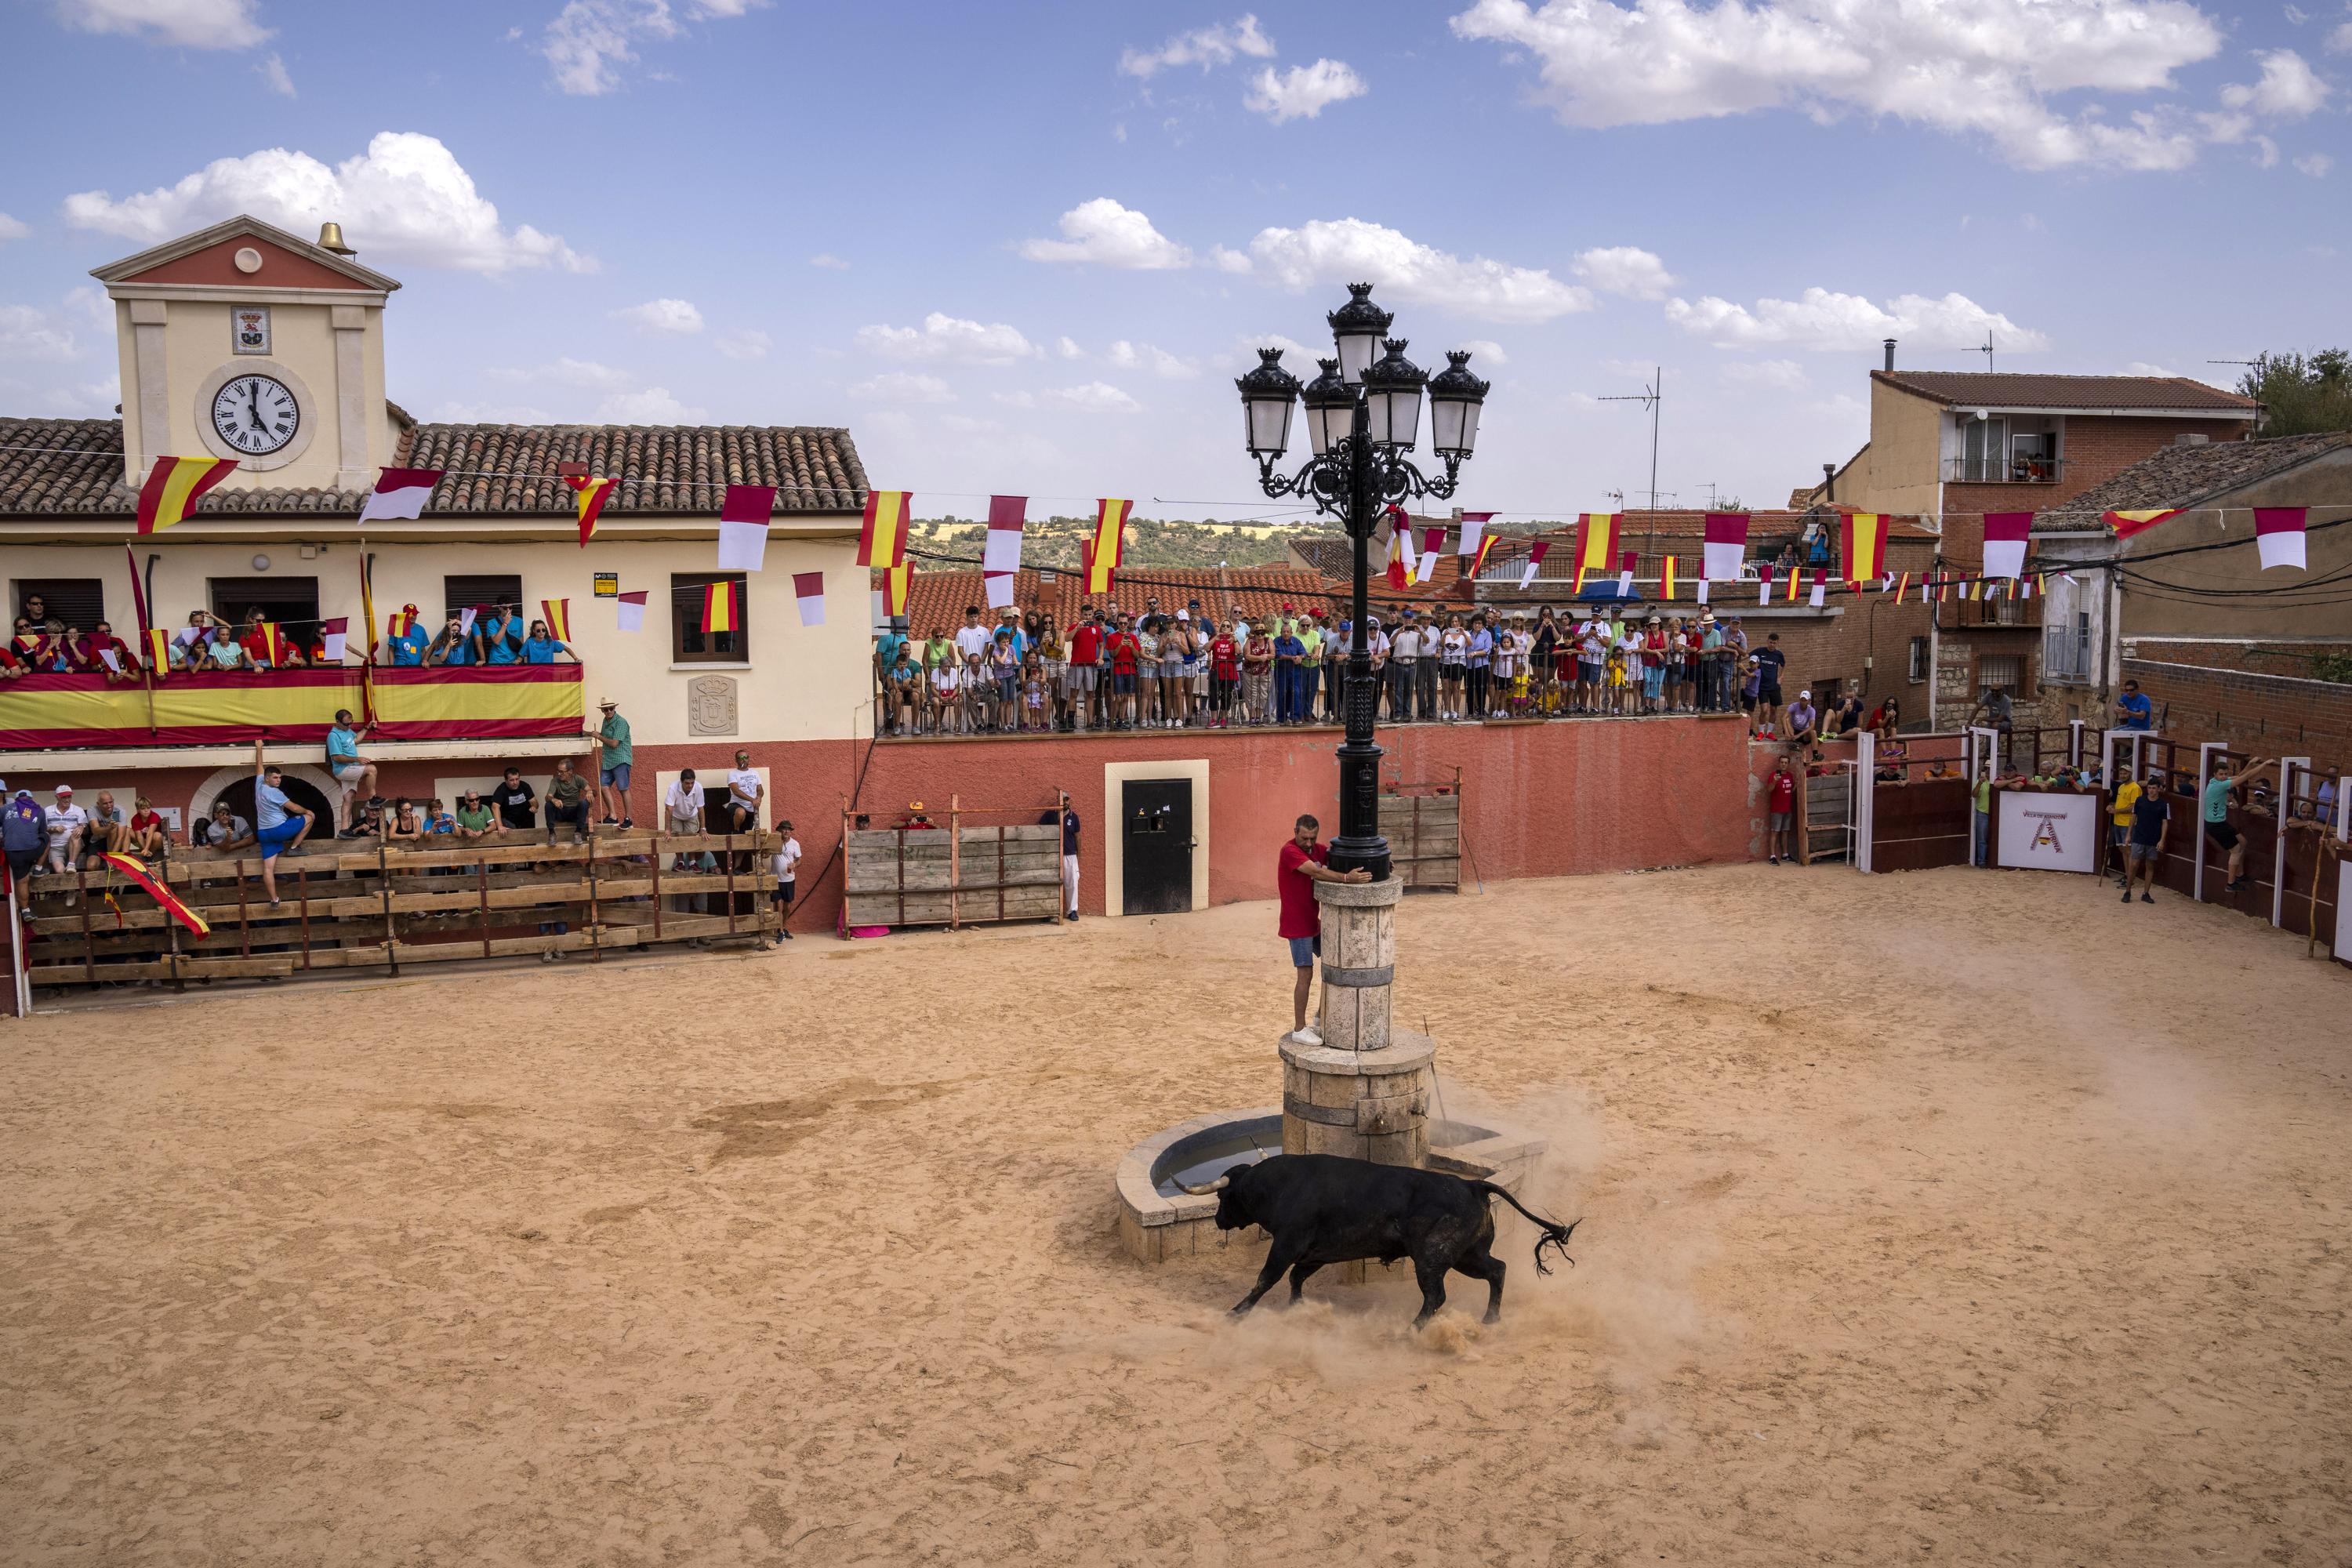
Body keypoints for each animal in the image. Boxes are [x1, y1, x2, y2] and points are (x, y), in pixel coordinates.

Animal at [1176, 1152, 1581, 1326]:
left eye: (1222, 1196)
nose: (1218, 1220)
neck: (1278, 1184)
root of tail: (1473, 1185)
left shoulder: (1288, 1244)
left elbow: (1267, 1278)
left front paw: (1236, 1313)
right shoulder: (1316, 1252)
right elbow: (1295, 1278)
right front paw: (1297, 1308)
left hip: (1431, 1258)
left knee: (1436, 1295)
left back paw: (1411, 1331)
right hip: (1468, 1256)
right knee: (1498, 1269)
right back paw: (1490, 1319)